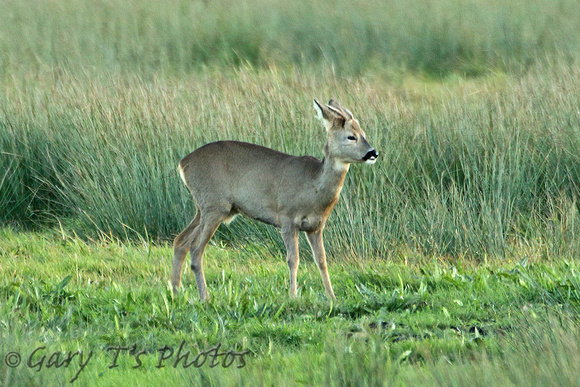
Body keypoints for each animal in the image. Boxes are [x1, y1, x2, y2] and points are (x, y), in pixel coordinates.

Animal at [170, 98, 378, 304]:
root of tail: (183, 164)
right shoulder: (287, 218)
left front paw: (332, 297)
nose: (373, 153)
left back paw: (176, 293)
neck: (313, 186)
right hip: (215, 205)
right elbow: (293, 259)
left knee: (180, 241)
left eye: (364, 134)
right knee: (196, 248)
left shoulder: (316, 226)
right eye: (351, 136)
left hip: (205, 207)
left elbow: (321, 261)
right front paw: (293, 296)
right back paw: (204, 297)